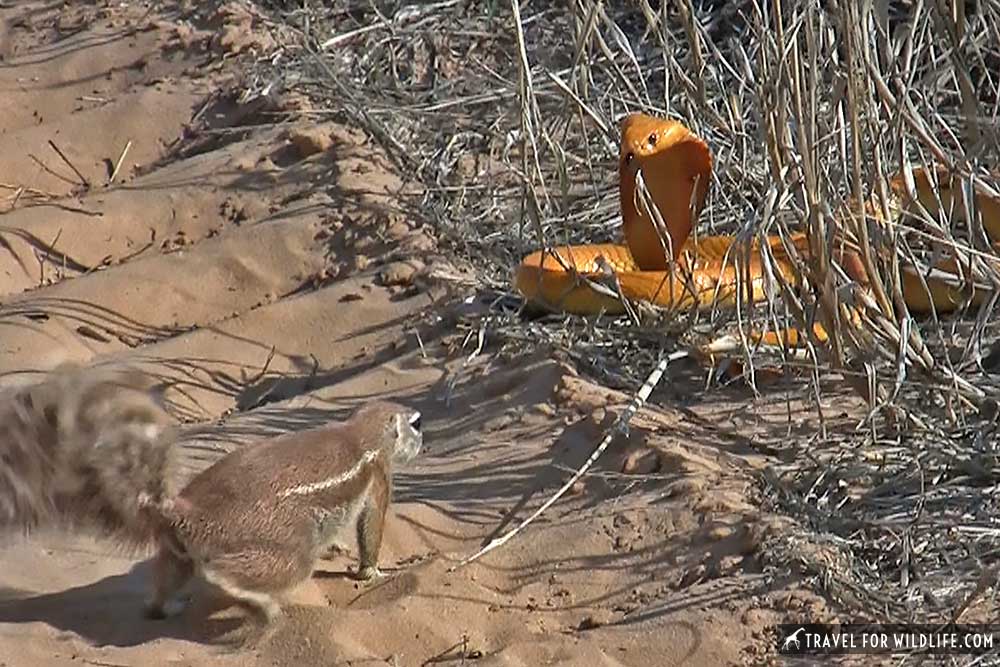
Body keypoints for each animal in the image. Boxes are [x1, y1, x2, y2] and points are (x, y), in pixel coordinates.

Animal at [0, 366, 422, 632]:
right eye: (415, 423)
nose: (424, 439)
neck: (360, 431)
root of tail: (183, 511)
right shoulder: (378, 473)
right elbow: (372, 525)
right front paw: (373, 572)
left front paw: (342, 552)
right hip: (282, 543)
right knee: (258, 572)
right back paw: (259, 604)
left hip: (177, 551)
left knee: (163, 586)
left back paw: (164, 606)